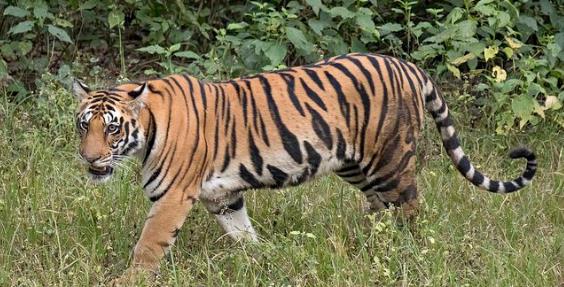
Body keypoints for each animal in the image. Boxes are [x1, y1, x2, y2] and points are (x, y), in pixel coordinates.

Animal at [72, 53, 536, 278]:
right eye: (83, 125)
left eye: (112, 128)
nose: (89, 158)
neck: (147, 130)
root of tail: (407, 65)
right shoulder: (223, 196)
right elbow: (243, 233)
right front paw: (261, 259)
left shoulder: (171, 197)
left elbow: (149, 244)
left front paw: (129, 279)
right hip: (355, 165)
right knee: (380, 208)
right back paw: (368, 244)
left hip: (390, 160)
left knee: (411, 209)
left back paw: (410, 253)